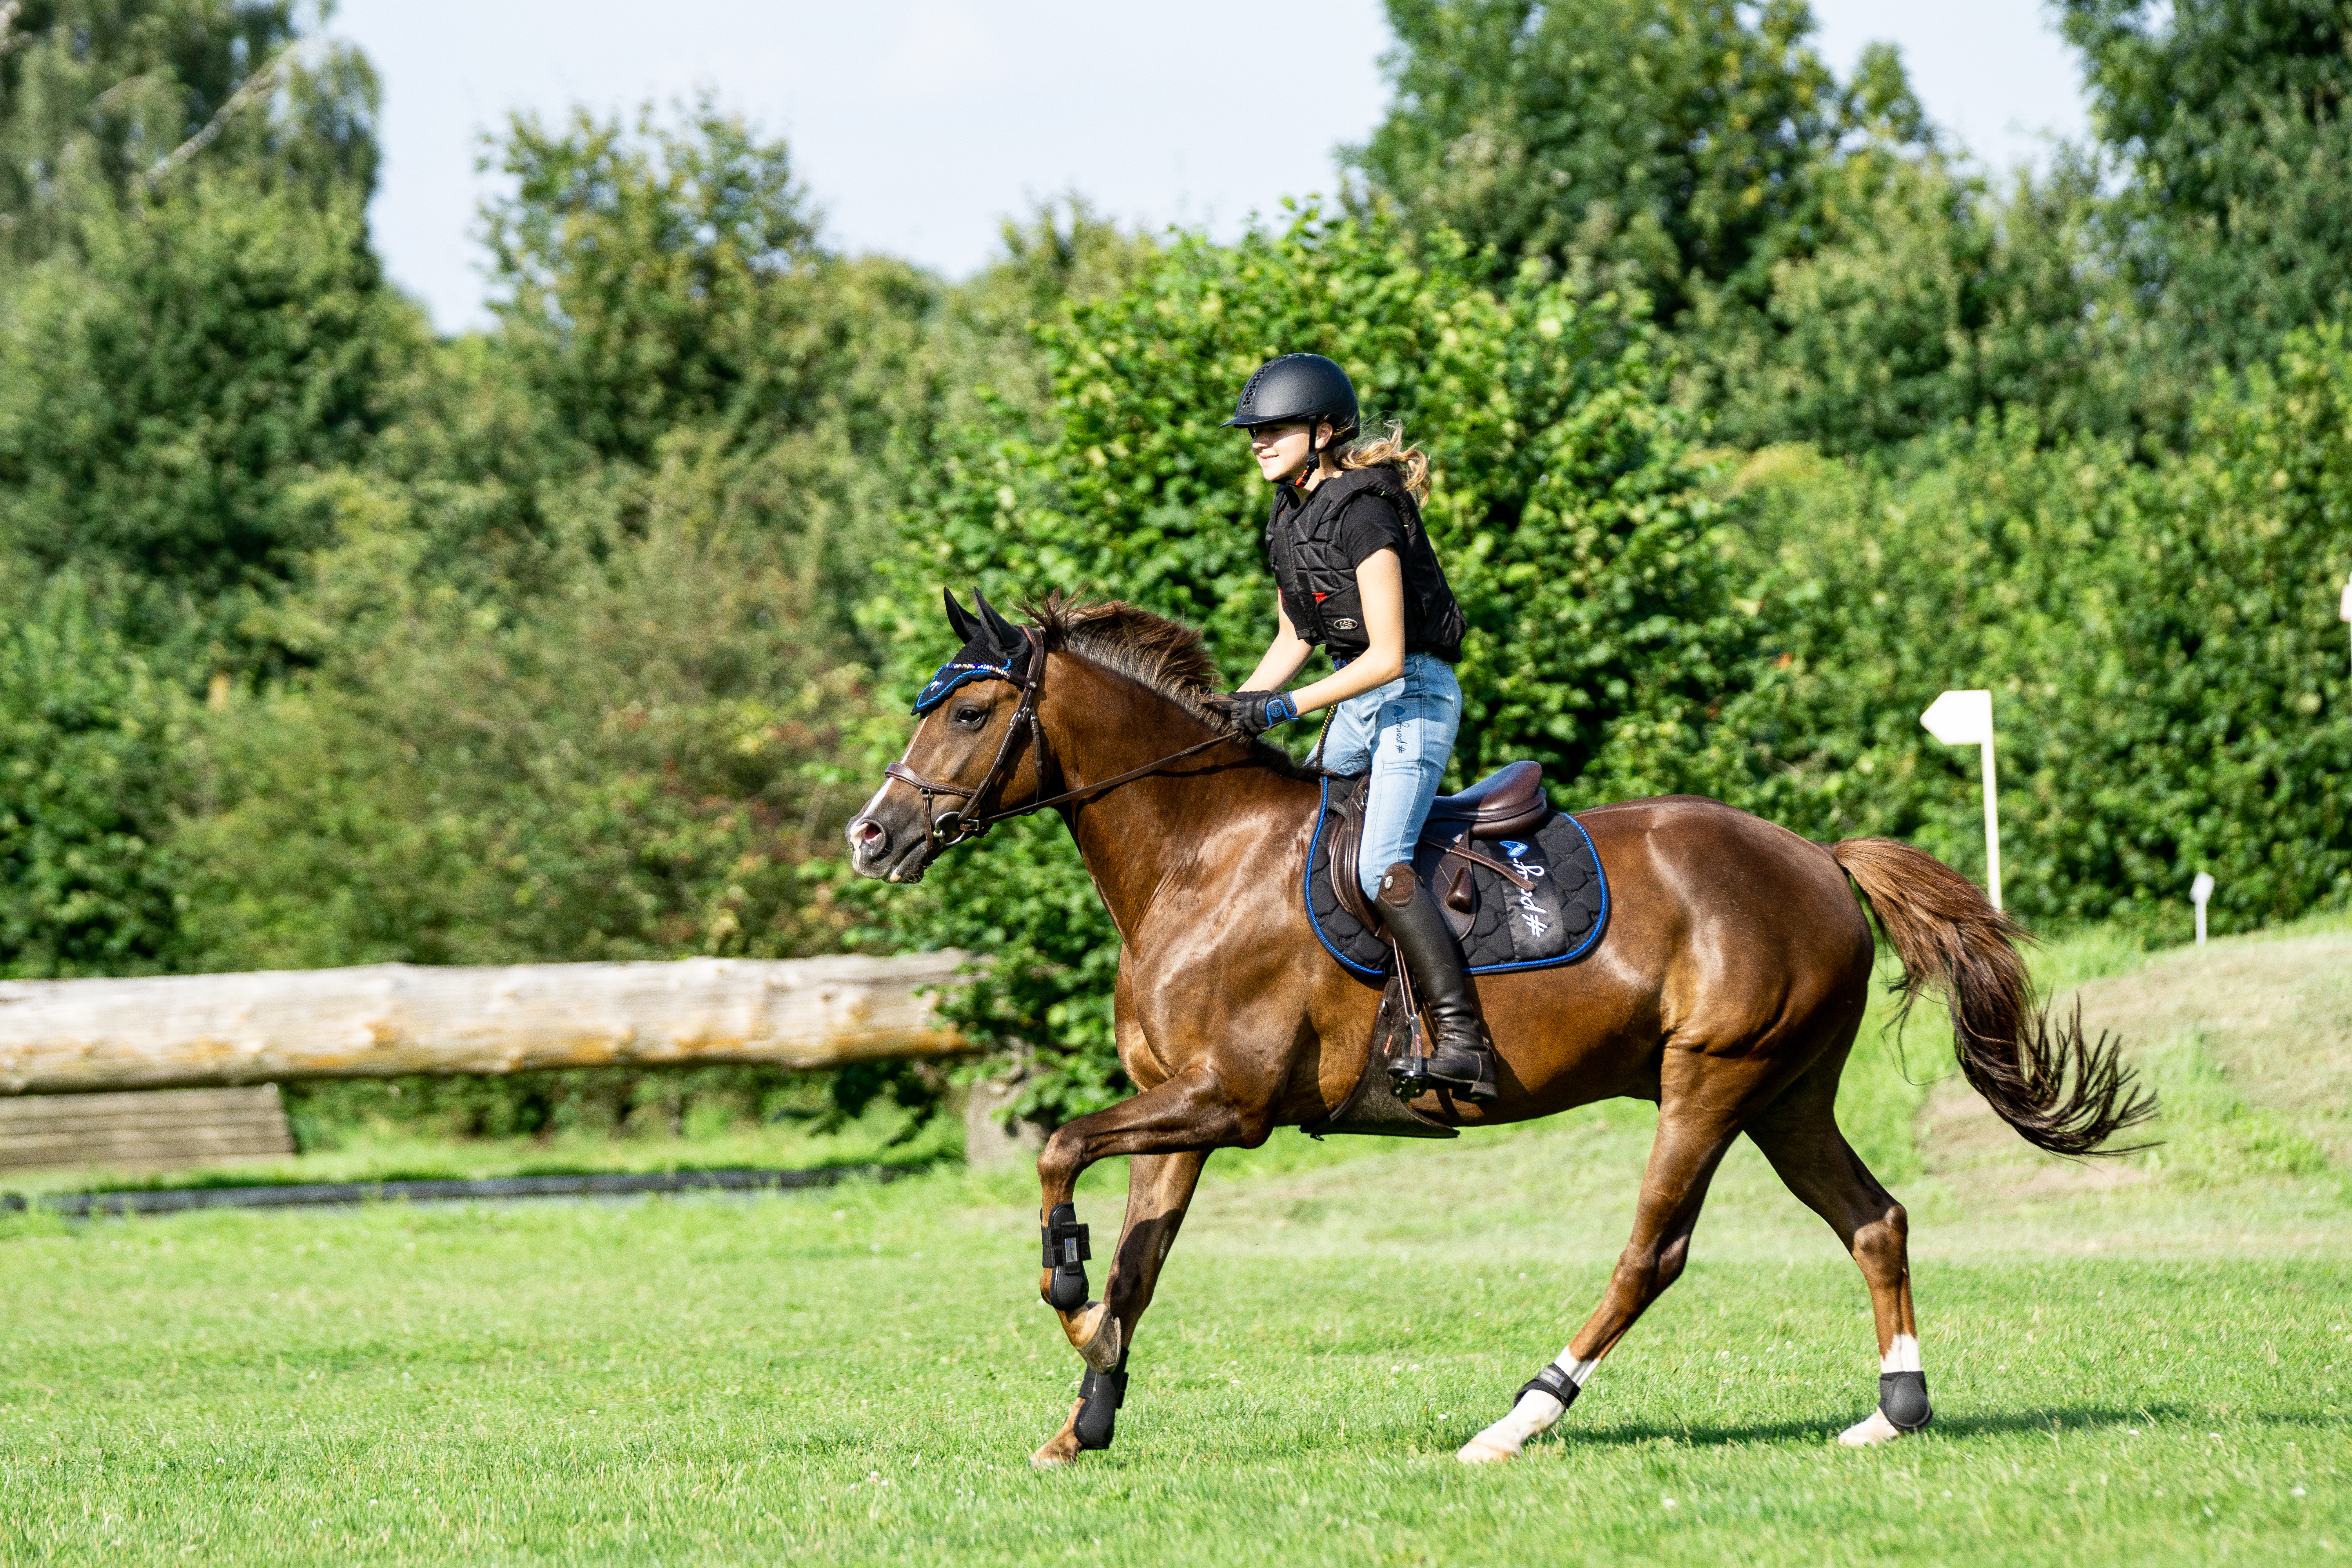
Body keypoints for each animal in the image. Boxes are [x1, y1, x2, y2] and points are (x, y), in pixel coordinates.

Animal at [847, 592, 2154, 1476]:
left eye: (972, 711)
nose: (871, 837)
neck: (1196, 857)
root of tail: (1820, 859)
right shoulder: (1185, 1113)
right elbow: (1139, 1261)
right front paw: (1087, 1414)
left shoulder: (1230, 1104)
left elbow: (1060, 1151)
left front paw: (1065, 1298)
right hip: (1785, 1093)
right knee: (1873, 1221)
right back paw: (1893, 1410)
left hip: (1711, 1082)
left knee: (1652, 1254)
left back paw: (1520, 1417)